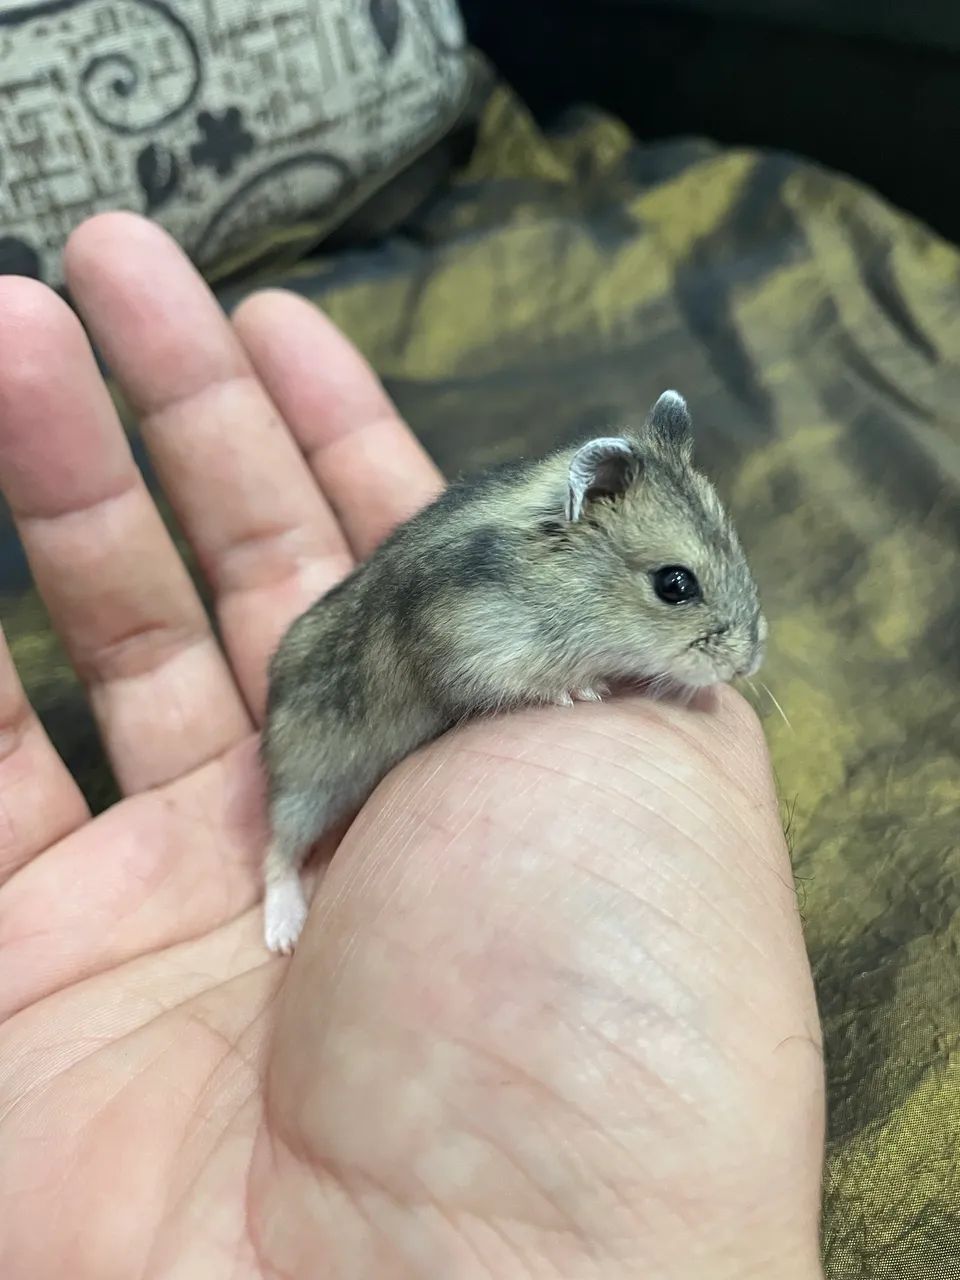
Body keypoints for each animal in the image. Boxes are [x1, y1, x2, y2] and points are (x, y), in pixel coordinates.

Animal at [261, 390, 766, 952]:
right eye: (675, 584)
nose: (749, 661)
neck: (559, 572)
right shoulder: (474, 651)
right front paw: (583, 690)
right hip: (312, 778)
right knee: (277, 849)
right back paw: (283, 934)